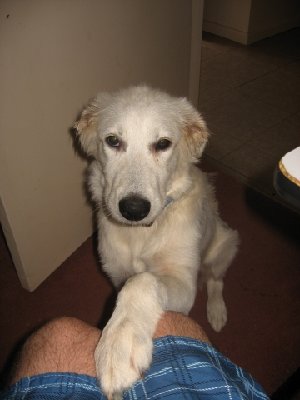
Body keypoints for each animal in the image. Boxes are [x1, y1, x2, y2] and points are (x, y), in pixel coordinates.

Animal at [74, 86, 239, 398]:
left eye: (163, 144)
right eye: (113, 141)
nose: (134, 209)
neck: (141, 233)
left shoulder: (183, 286)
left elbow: (142, 281)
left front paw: (118, 343)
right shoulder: (117, 274)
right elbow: (128, 285)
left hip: (225, 243)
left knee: (216, 279)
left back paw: (217, 311)